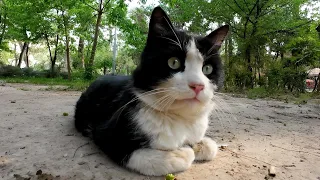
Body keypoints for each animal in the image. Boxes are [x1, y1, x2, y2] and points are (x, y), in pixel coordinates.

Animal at [74, 5, 229, 177]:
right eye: (174, 62)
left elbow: (210, 147)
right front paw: (182, 152)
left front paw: (201, 144)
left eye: (207, 69)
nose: (198, 85)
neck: (179, 118)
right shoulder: (107, 133)